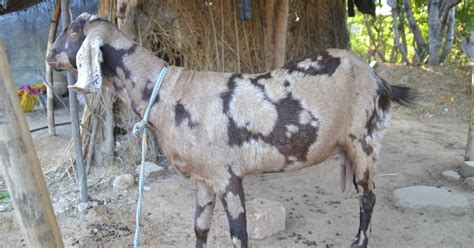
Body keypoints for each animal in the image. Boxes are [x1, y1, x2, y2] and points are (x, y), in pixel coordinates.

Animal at [46, 13, 412, 248]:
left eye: (72, 32)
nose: (49, 54)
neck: (170, 93)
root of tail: (378, 78)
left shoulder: (227, 176)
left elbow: (239, 236)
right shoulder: (203, 179)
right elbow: (199, 229)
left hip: (364, 141)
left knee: (368, 198)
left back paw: (358, 242)